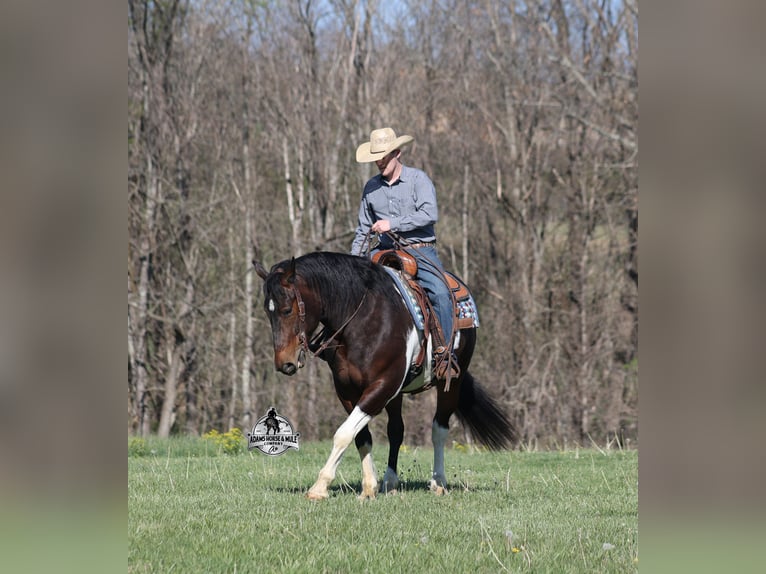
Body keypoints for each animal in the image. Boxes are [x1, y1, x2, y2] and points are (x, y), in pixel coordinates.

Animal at [253, 251, 516, 500]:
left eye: (287, 310)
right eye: (267, 312)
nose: (284, 363)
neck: (363, 320)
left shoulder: (382, 385)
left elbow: (344, 434)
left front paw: (319, 487)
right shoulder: (347, 391)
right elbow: (361, 436)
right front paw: (369, 487)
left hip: (451, 383)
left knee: (439, 429)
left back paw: (438, 482)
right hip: (397, 395)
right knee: (396, 431)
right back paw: (390, 482)